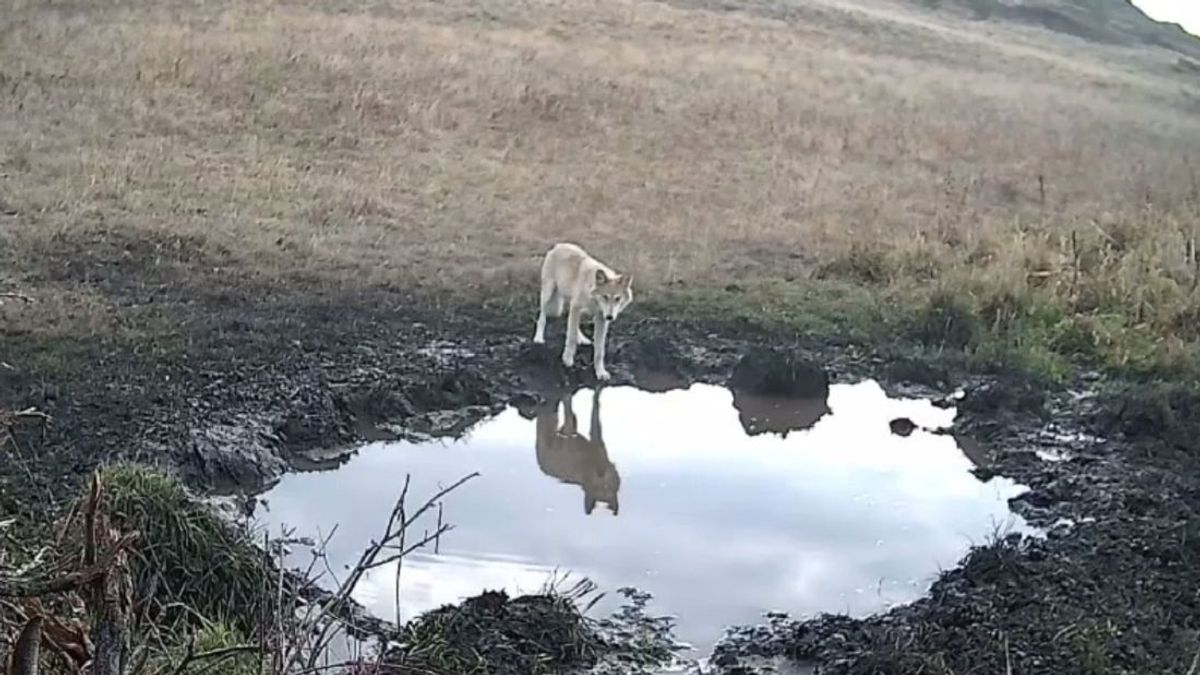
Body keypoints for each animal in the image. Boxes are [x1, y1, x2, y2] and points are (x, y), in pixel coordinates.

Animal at [533, 243, 633, 381]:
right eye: (605, 297)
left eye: (618, 299)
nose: (610, 317)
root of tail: (559, 245)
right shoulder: (576, 307)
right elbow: (571, 338)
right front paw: (567, 360)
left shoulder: (600, 319)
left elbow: (599, 350)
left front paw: (600, 372)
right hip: (548, 294)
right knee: (542, 317)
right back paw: (538, 338)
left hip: (570, 303)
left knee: (570, 321)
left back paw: (582, 339)